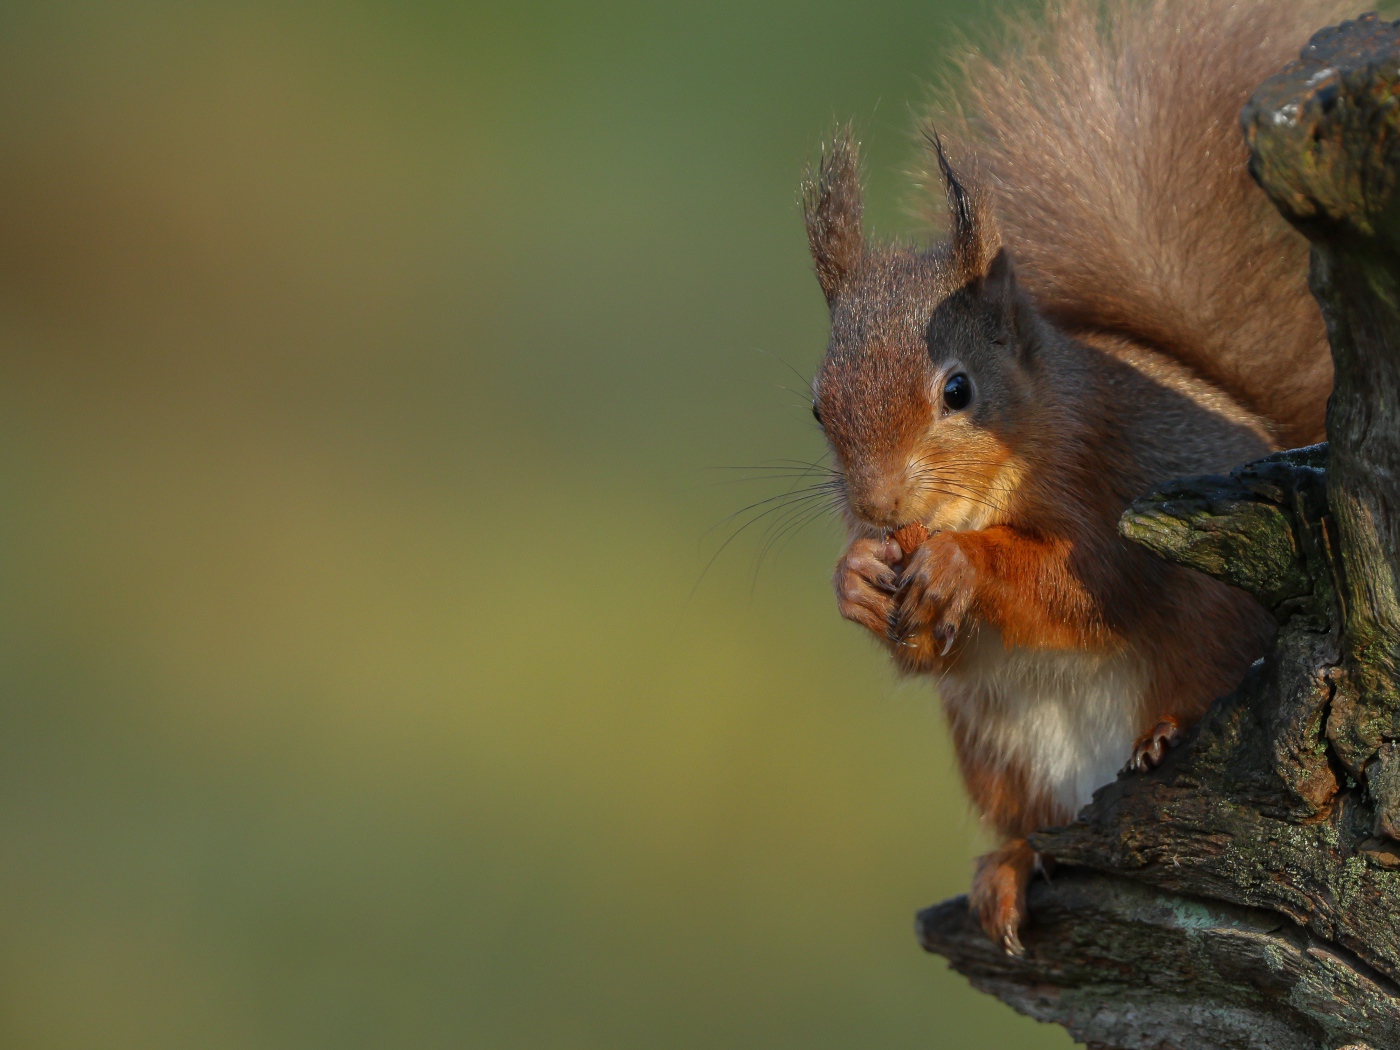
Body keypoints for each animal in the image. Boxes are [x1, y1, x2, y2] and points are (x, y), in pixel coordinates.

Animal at [812, 0, 1344, 957]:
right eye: (816, 408)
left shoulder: (1113, 480)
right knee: (1039, 833)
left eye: (958, 390)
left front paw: (965, 564)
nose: (875, 506)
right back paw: (1011, 868)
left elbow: (1089, 582)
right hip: (1000, 756)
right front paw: (857, 578)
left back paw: (1165, 732)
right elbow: (934, 649)